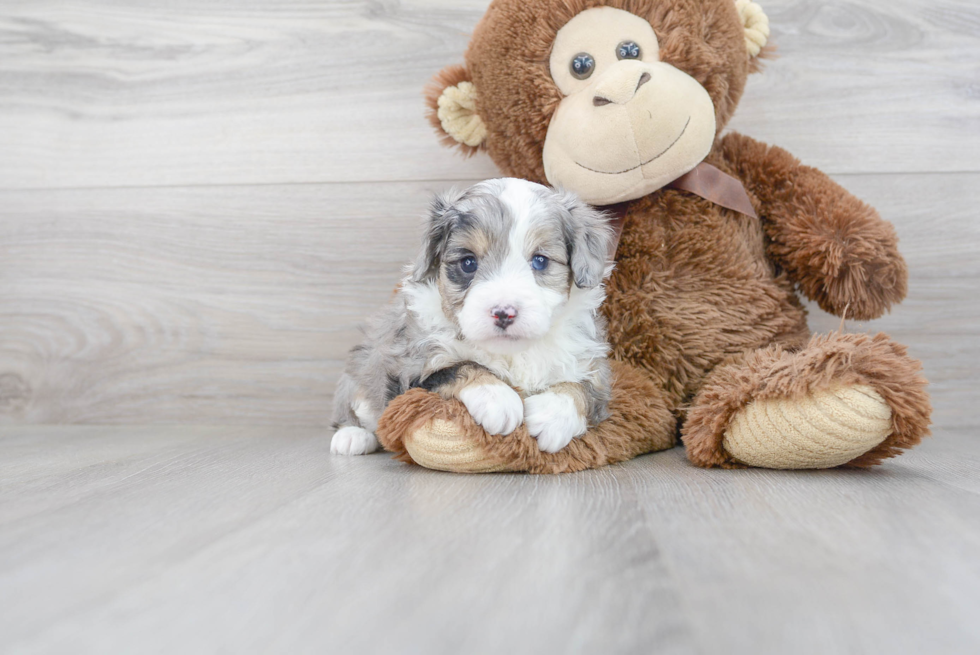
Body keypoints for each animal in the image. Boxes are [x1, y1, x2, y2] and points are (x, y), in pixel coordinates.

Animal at [334, 178, 616, 456]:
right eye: (468, 263)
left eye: (540, 261)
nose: (504, 313)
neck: (512, 353)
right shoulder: (409, 370)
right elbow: (460, 366)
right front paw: (497, 397)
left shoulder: (593, 365)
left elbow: (584, 389)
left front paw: (553, 415)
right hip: (362, 369)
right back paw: (351, 436)